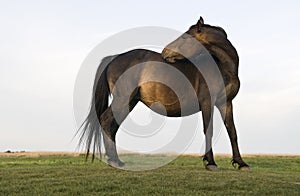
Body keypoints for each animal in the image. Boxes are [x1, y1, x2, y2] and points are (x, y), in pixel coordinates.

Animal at [78, 16, 250, 171]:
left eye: (185, 37)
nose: (165, 52)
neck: (221, 67)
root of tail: (113, 58)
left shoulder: (225, 103)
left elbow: (232, 131)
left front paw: (241, 163)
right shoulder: (207, 102)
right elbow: (209, 130)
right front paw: (211, 163)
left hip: (129, 102)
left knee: (112, 126)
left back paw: (115, 160)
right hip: (122, 100)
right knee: (107, 122)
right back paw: (114, 161)